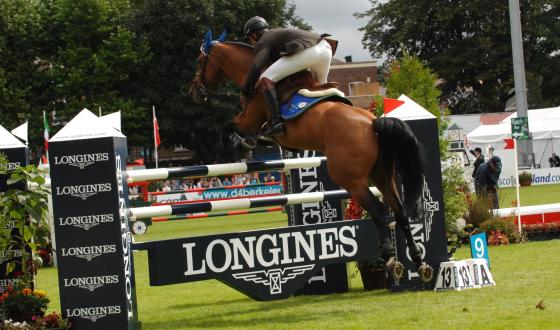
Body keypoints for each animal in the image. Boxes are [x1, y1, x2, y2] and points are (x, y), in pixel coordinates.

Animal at [188, 32, 434, 282]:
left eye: (199, 62)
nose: (194, 93)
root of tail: (372, 122)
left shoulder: (248, 119)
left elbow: (226, 128)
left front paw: (228, 154)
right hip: (382, 175)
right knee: (399, 210)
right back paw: (419, 261)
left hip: (351, 179)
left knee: (378, 210)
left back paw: (390, 258)